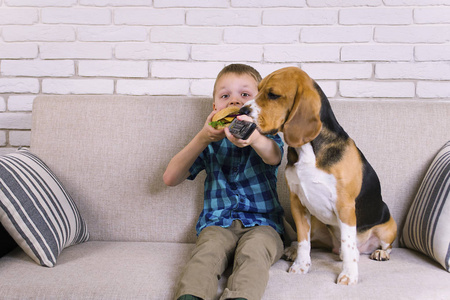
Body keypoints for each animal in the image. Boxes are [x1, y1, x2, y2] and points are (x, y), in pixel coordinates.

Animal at [243, 67, 398, 284]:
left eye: (273, 95)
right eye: (256, 91)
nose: (241, 111)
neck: (309, 149)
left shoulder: (345, 206)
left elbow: (348, 245)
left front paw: (349, 274)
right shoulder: (297, 203)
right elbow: (303, 241)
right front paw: (301, 265)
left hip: (388, 227)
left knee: (382, 246)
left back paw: (379, 253)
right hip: (317, 225)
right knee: (309, 242)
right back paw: (292, 250)